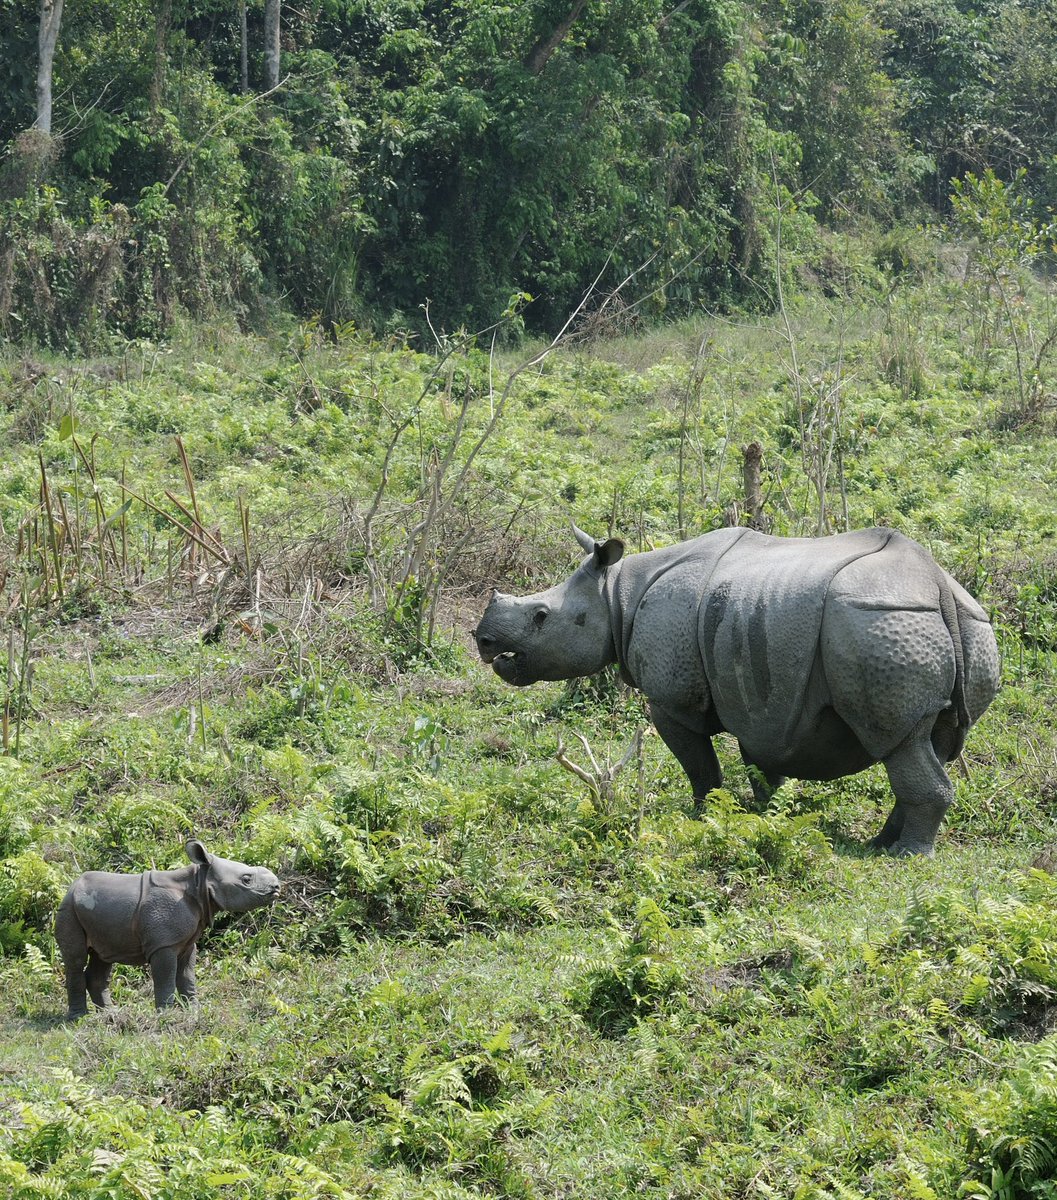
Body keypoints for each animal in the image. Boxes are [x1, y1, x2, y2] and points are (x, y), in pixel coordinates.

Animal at [55, 839, 281, 1018]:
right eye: (246, 879)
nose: (277, 886)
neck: (199, 884)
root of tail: (71, 887)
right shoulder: (164, 944)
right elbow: (166, 978)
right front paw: (165, 1015)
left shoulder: (186, 943)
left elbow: (187, 977)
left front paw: (194, 1011)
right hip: (68, 908)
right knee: (76, 959)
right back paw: (79, 1018)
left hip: (96, 911)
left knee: (103, 956)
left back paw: (110, 1014)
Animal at [474, 525, 1001, 856]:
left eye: (541, 617)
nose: (484, 641)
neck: (616, 593)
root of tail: (937, 586)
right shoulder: (764, 700)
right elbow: (762, 763)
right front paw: (763, 814)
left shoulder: (672, 698)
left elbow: (700, 765)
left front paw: (702, 817)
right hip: (962, 624)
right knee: (929, 742)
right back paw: (881, 844)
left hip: (880, 621)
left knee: (899, 741)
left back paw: (907, 856)